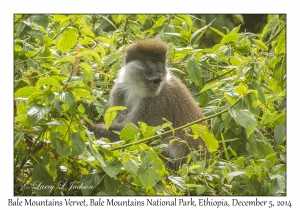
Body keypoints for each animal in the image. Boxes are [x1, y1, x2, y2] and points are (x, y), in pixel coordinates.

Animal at [84, 38, 206, 168]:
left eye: (161, 63)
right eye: (151, 61)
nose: (159, 71)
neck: (138, 88)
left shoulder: (158, 102)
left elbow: (135, 135)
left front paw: (88, 126)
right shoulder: (119, 90)